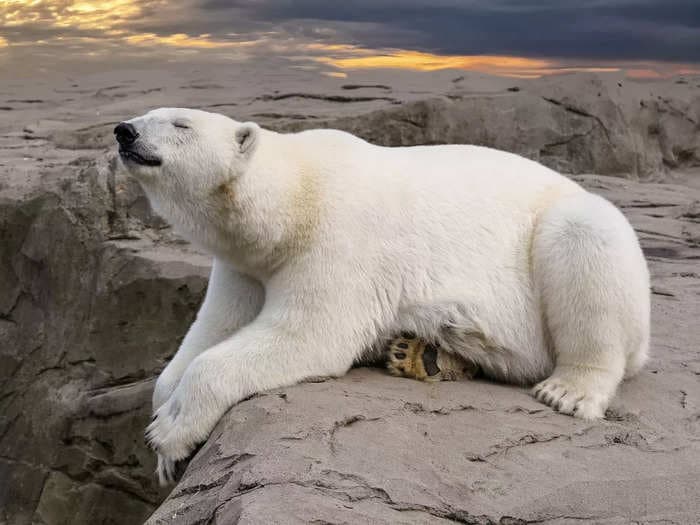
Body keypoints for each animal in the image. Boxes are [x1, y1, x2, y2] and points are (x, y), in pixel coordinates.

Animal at [115, 108, 652, 486]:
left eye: (181, 123)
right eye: (150, 112)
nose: (124, 132)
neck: (295, 197)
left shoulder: (340, 237)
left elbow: (309, 334)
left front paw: (170, 430)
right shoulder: (244, 264)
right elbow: (214, 328)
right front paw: (166, 443)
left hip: (566, 237)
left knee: (585, 243)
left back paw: (568, 390)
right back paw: (421, 352)